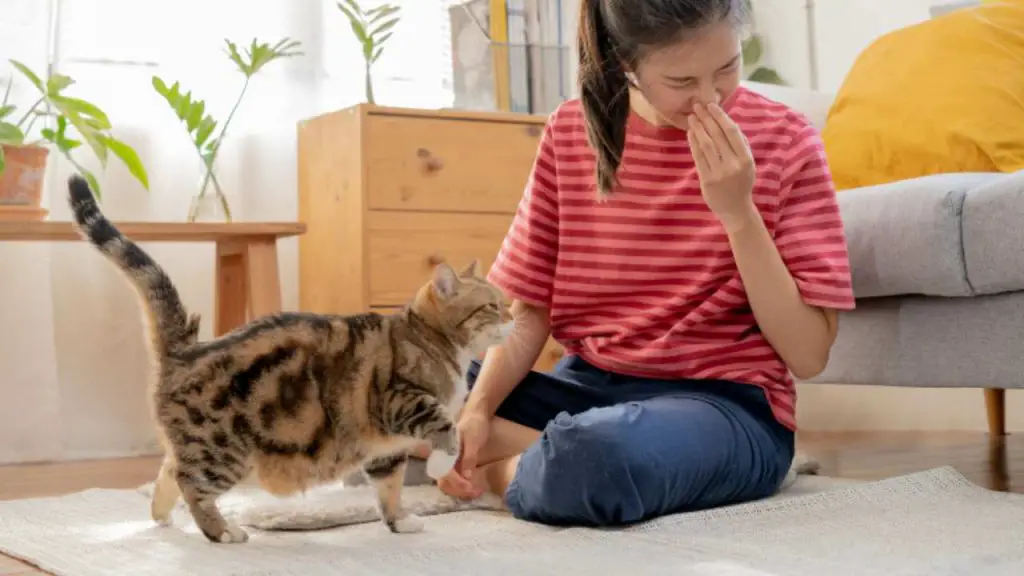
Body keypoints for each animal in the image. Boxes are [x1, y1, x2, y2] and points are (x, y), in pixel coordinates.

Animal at [66, 175, 512, 541]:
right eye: (492, 306)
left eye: (504, 302)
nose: (513, 316)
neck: (433, 339)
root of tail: (186, 349)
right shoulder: (400, 399)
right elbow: (448, 427)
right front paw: (441, 465)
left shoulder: (386, 448)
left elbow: (389, 488)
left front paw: (399, 521)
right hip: (222, 451)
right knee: (190, 482)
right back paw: (222, 531)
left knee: (167, 472)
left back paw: (162, 517)